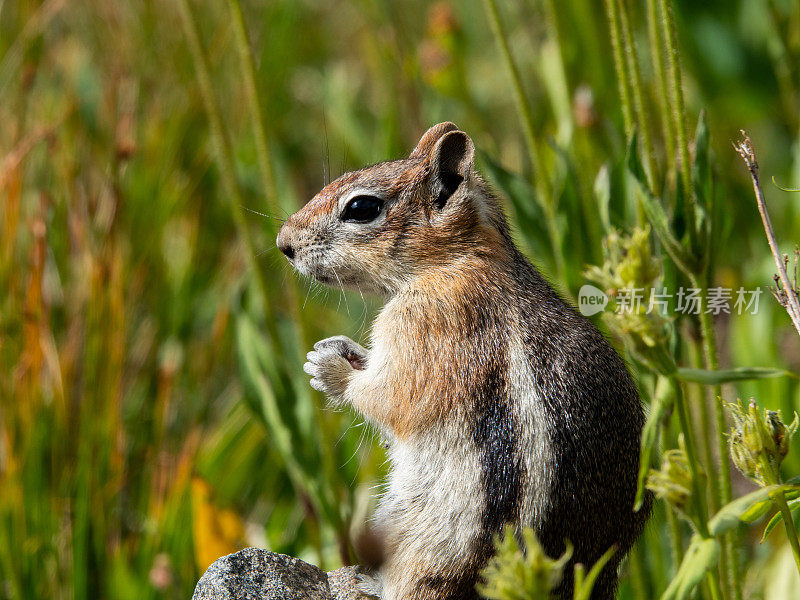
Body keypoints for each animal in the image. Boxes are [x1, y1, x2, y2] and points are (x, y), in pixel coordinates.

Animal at [276, 123, 648, 600]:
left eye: (361, 207)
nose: (284, 243)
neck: (461, 259)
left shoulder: (427, 327)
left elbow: (390, 397)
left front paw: (327, 368)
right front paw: (340, 348)